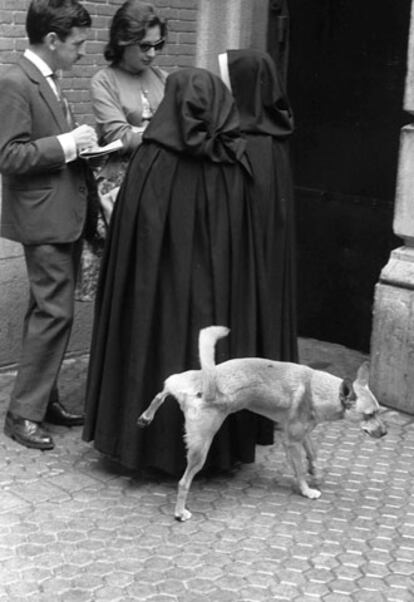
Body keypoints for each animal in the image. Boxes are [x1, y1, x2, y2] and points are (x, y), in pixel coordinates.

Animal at [137, 326, 386, 516]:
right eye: (368, 415)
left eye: (378, 411)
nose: (384, 433)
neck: (315, 388)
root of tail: (208, 385)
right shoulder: (291, 441)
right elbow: (299, 469)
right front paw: (306, 490)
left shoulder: (301, 433)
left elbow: (313, 454)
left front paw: (315, 472)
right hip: (201, 446)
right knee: (183, 481)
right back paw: (180, 512)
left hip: (181, 381)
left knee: (163, 389)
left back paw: (146, 416)